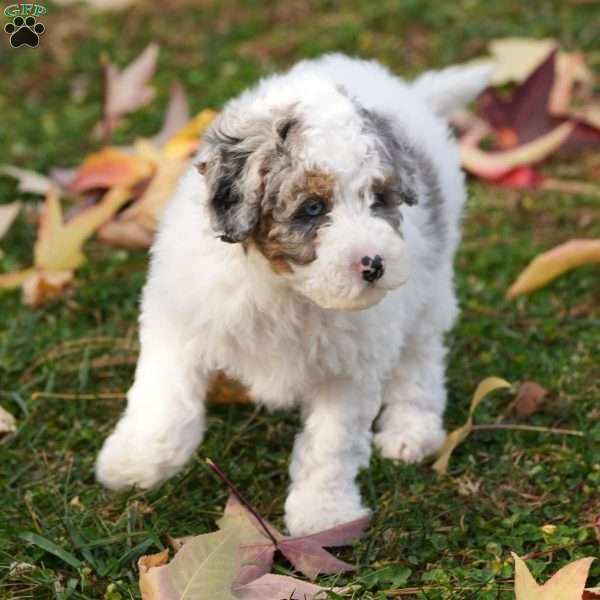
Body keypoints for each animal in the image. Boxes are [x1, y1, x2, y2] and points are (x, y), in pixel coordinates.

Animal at [96, 54, 492, 536]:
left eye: (378, 198)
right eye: (313, 208)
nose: (374, 265)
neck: (283, 287)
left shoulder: (349, 369)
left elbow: (331, 444)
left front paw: (325, 515)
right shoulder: (181, 322)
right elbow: (164, 401)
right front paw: (136, 464)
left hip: (429, 291)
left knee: (419, 361)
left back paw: (411, 430)